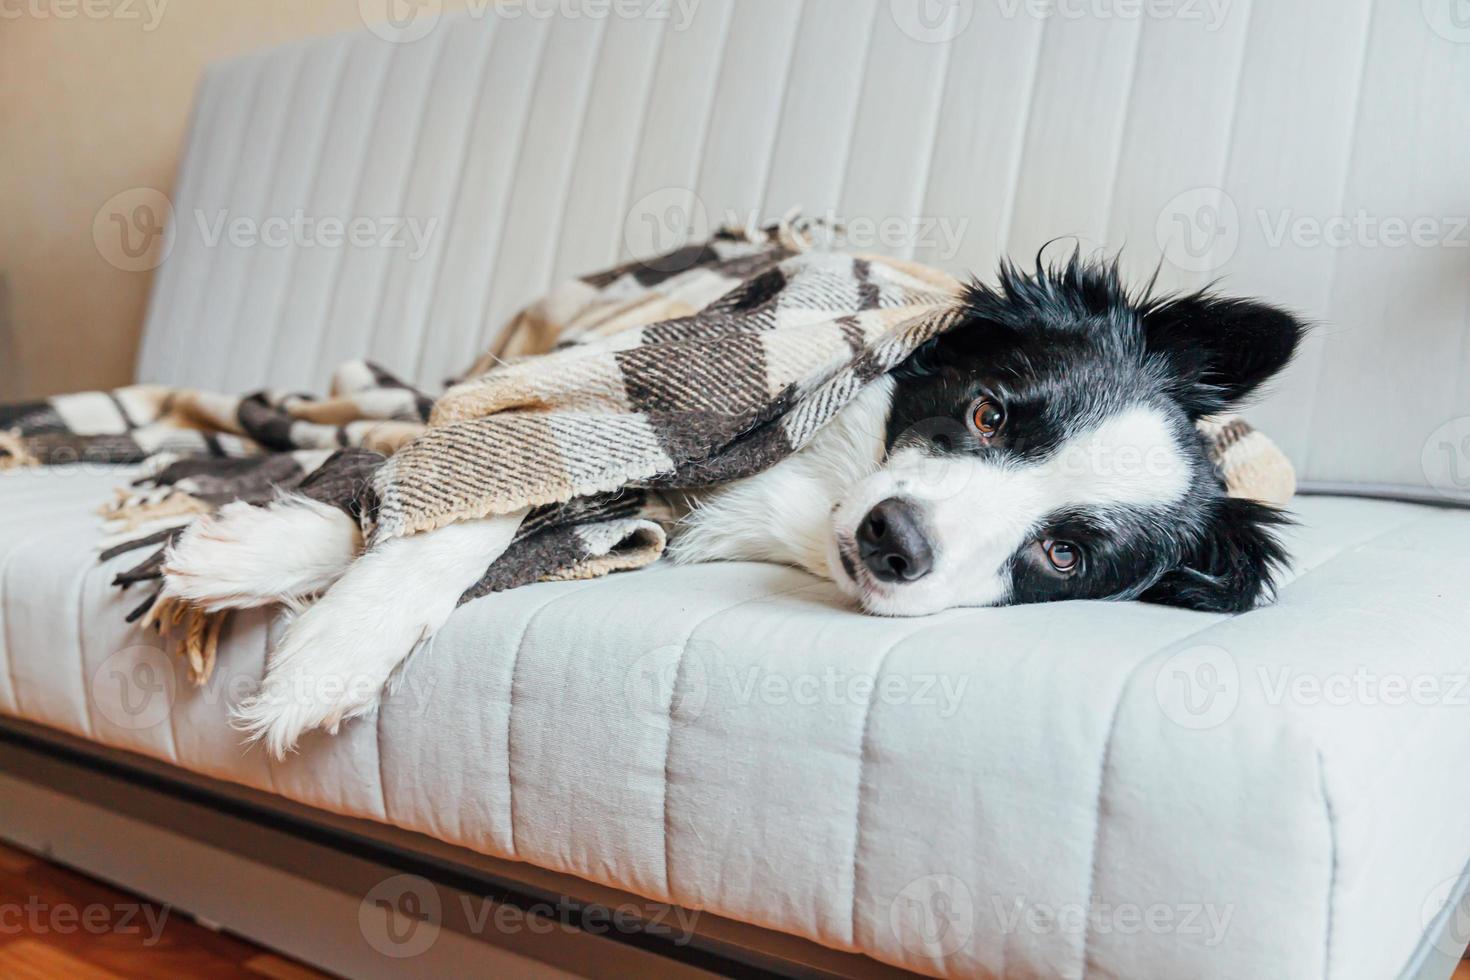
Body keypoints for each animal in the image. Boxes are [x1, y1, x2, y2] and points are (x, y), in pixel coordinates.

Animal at [166, 251, 1305, 752]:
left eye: (1065, 555)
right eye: (988, 413)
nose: (893, 540)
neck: (819, 492)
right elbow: (468, 493)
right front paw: (305, 616)